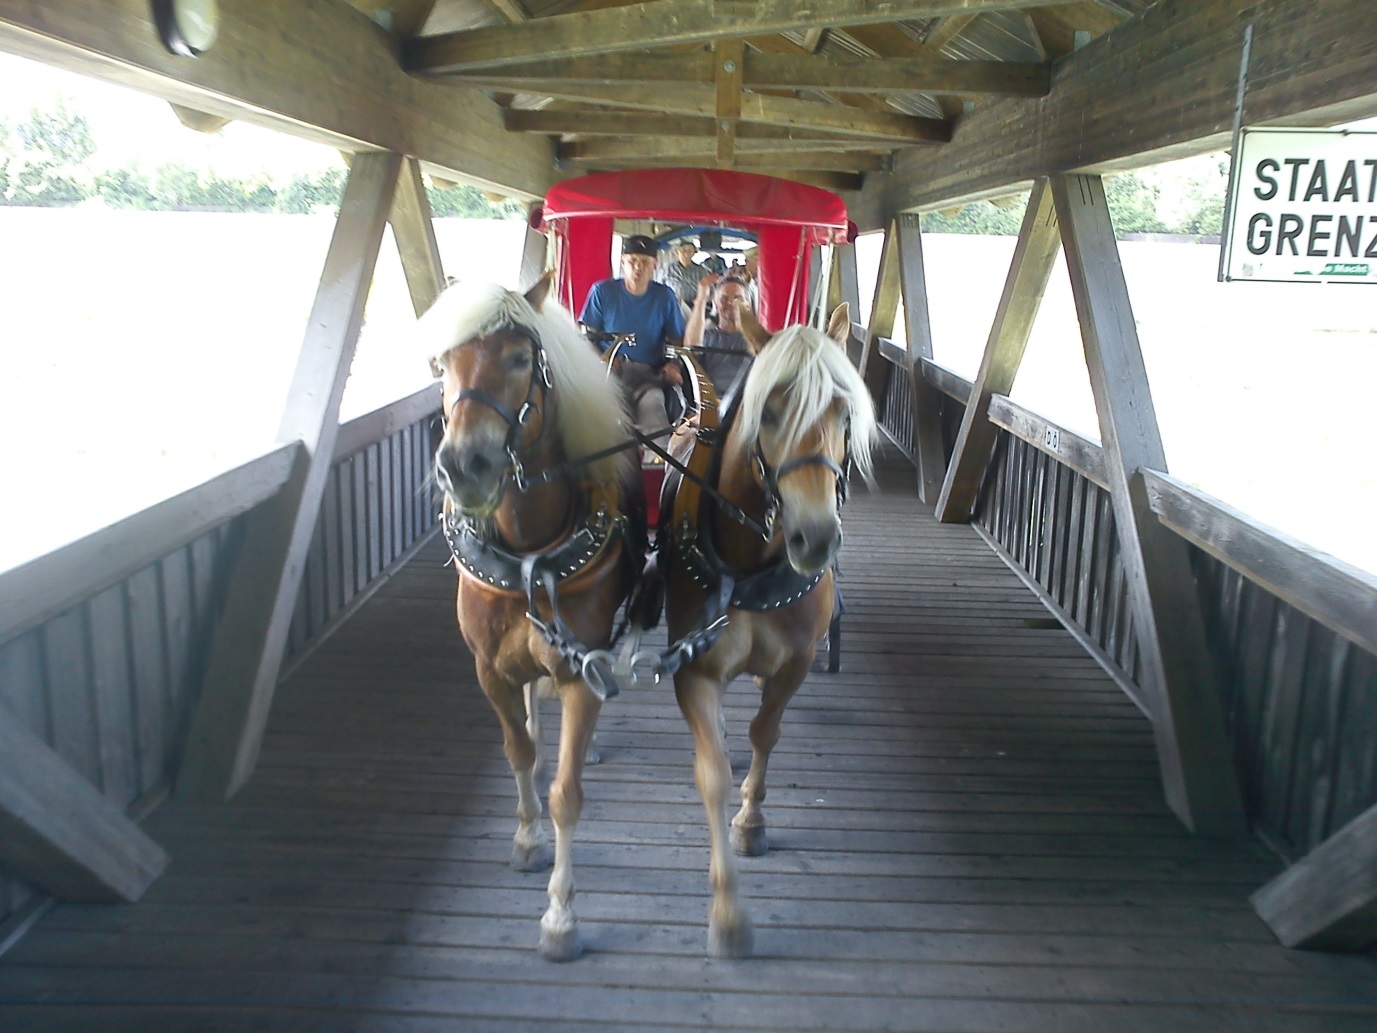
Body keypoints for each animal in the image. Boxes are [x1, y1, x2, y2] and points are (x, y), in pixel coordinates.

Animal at [418, 274, 643, 962]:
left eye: (520, 358)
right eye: (443, 363)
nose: (464, 466)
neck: (527, 553)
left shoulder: (579, 675)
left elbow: (566, 794)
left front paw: (560, 916)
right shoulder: (489, 668)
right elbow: (516, 750)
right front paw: (524, 838)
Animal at [660, 301, 878, 958]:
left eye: (843, 411)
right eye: (771, 410)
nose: (816, 538)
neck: (752, 564)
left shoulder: (796, 662)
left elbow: (767, 733)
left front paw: (753, 821)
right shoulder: (694, 668)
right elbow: (712, 772)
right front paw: (729, 913)